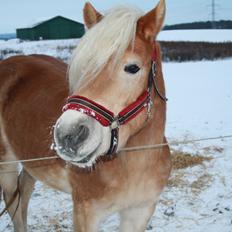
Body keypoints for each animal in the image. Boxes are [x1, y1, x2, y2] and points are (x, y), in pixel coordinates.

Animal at [0, 0, 170, 231]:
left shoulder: (140, 212)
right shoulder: (86, 213)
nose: (68, 135)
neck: (135, 163)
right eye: (82, 67)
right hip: (5, 164)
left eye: (132, 68)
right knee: (13, 202)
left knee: (23, 192)